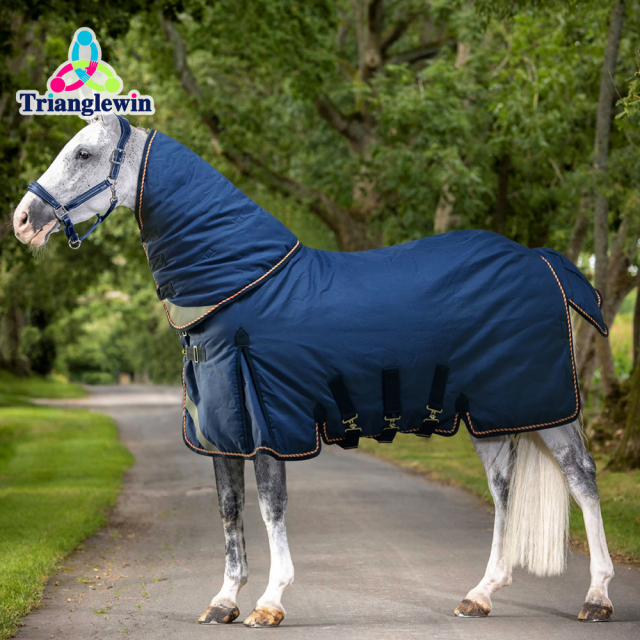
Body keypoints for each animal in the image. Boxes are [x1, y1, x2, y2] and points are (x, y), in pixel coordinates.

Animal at [13, 112, 615, 627]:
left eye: (84, 153)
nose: (22, 221)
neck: (242, 284)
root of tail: (540, 259)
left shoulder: (269, 420)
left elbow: (270, 506)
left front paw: (270, 602)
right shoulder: (221, 430)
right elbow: (230, 510)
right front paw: (224, 600)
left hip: (546, 405)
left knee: (582, 479)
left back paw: (597, 597)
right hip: (490, 414)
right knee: (503, 489)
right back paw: (481, 594)